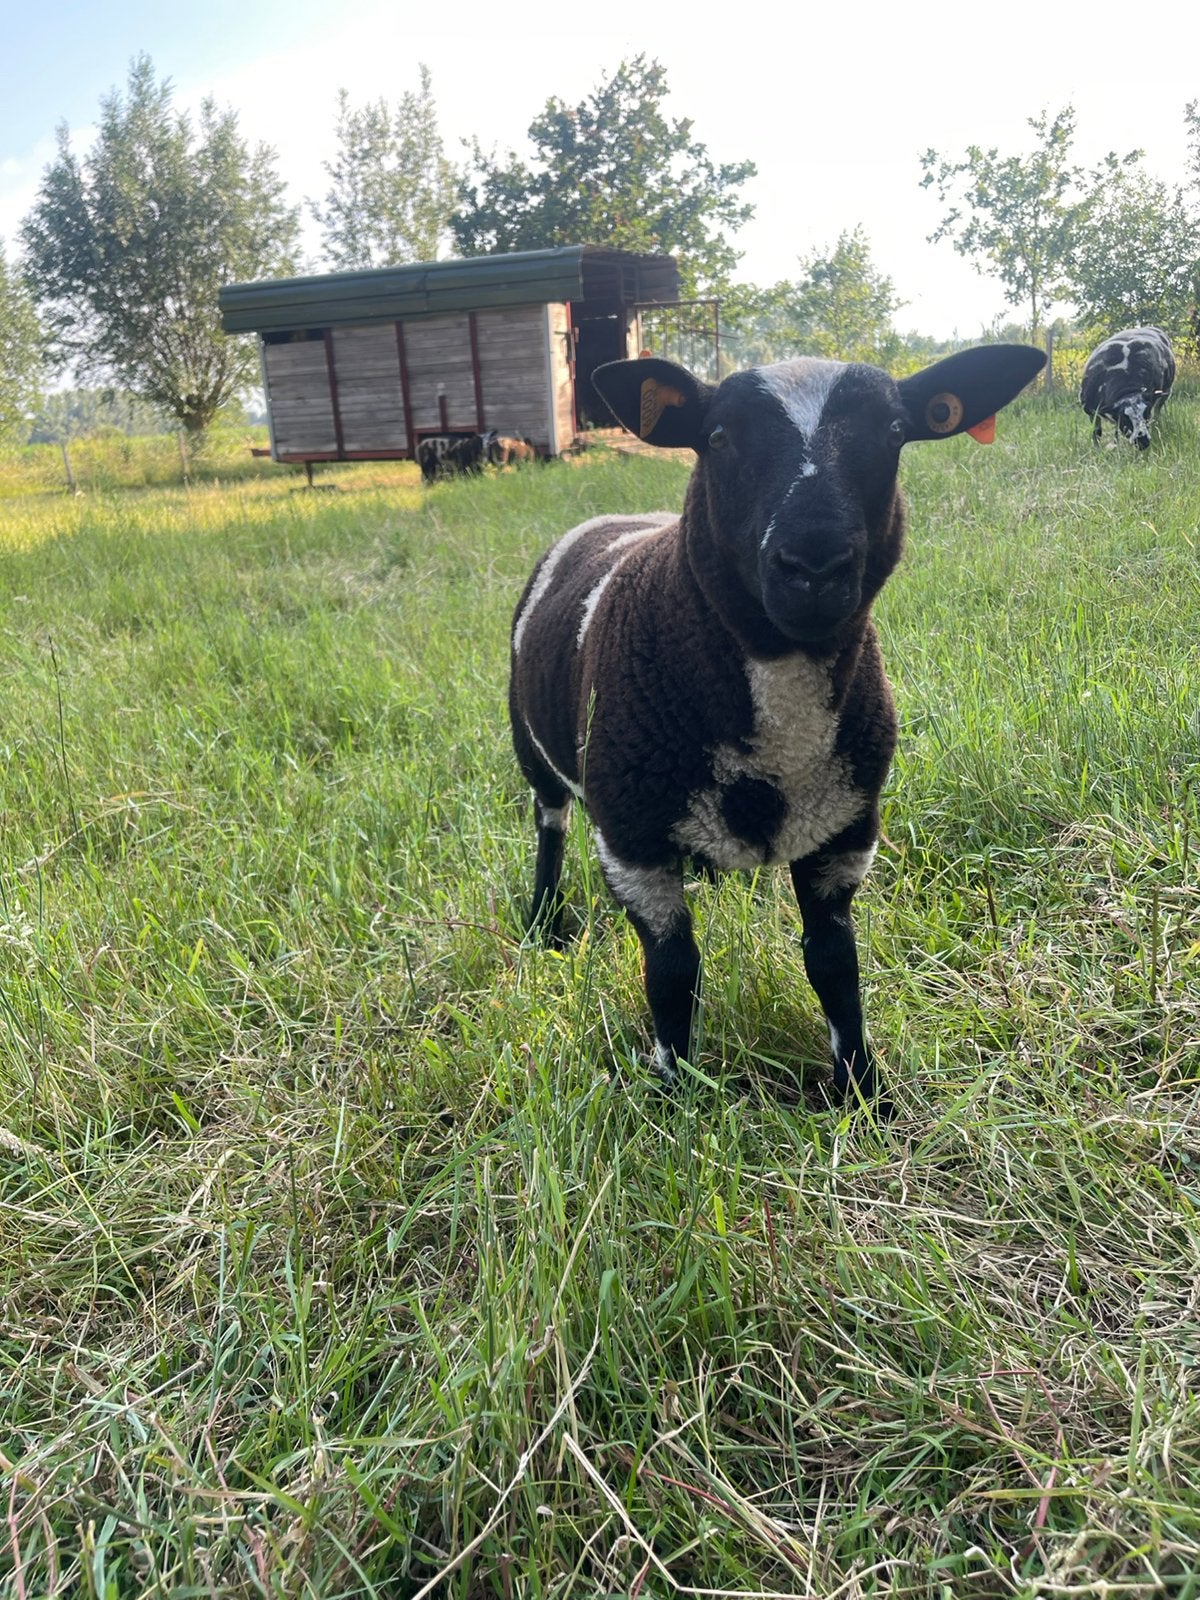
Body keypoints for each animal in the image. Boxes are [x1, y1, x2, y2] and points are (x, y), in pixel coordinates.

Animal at [509, 344, 1045, 1108]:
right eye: (718, 436)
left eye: (893, 431)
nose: (813, 564)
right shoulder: (633, 840)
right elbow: (672, 970)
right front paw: (676, 1095)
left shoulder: (845, 827)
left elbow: (835, 965)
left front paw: (863, 1093)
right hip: (533, 750)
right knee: (549, 828)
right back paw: (544, 925)